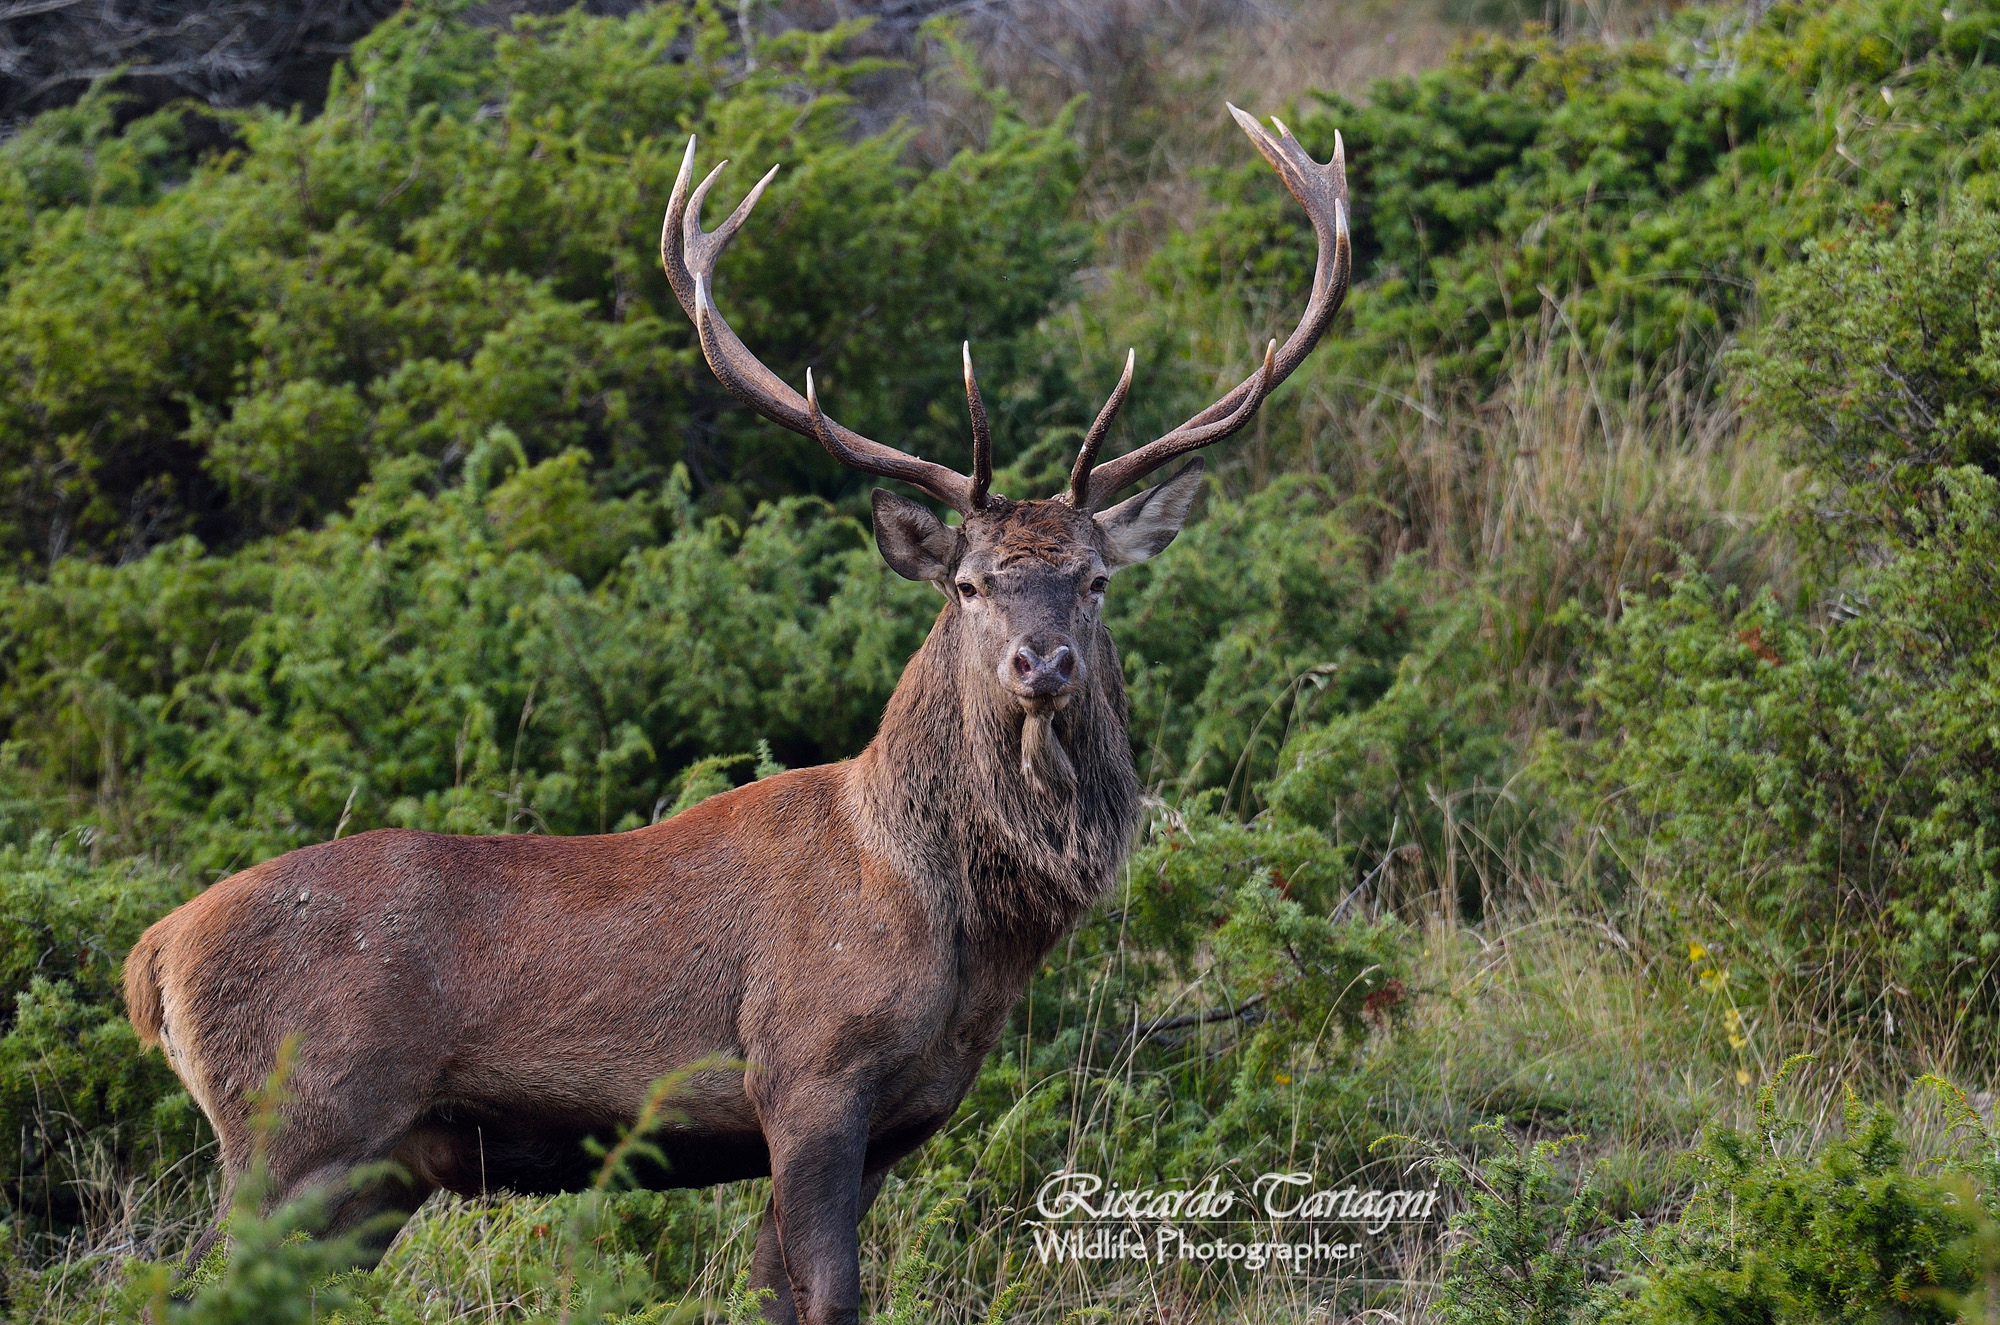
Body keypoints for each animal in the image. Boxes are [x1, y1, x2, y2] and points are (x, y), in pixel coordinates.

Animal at [123, 104, 1350, 1325]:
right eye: (969, 583)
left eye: (1094, 579)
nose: (1039, 661)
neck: (952, 917)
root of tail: (155, 956)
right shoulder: (807, 1069)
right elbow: (832, 1293)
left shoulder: (901, 1112)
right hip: (296, 1127)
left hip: (376, 1171)